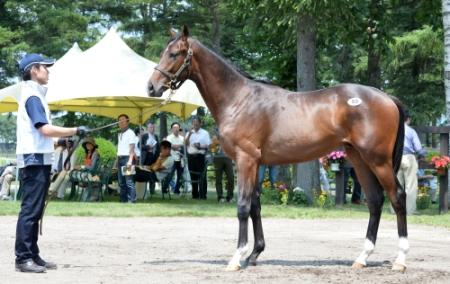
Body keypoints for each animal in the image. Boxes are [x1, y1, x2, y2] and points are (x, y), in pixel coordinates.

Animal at [148, 27, 408, 272]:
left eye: (174, 54)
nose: (151, 87)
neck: (239, 99)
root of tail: (386, 97)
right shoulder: (254, 163)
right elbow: (255, 206)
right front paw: (254, 254)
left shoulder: (245, 160)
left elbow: (243, 206)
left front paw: (236, 258)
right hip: (359, 158)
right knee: (375, 200)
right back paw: (362, 258)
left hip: (378, 160)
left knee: (397, 197)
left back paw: (400, 260)